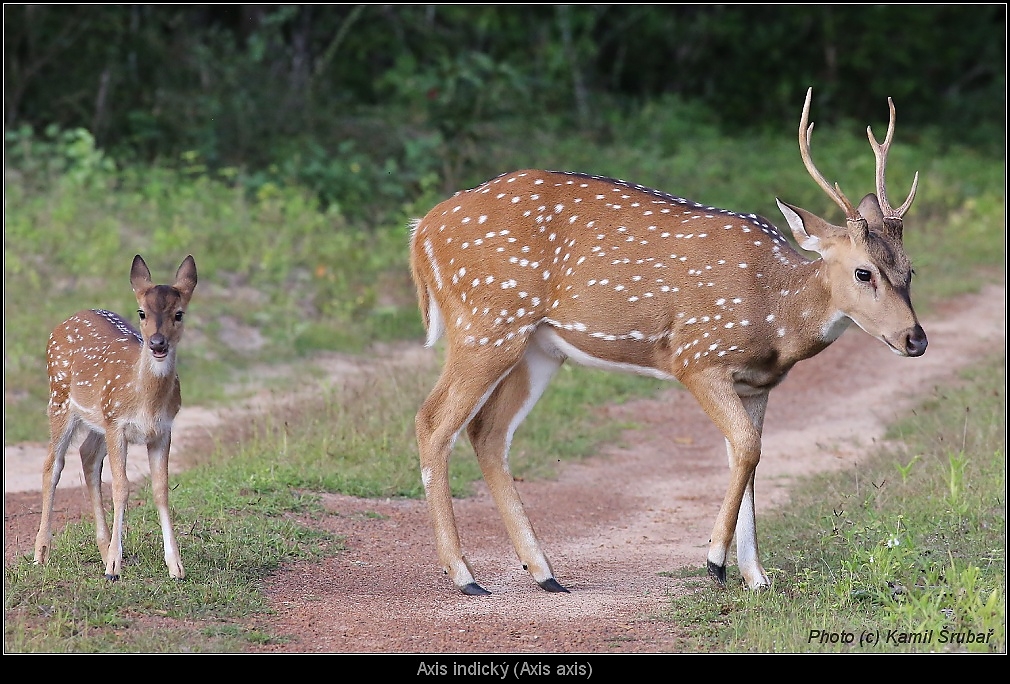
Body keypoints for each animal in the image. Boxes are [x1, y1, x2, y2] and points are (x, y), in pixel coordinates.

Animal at [36, 253, 196, 577]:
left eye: (179, 314)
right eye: (142, 312)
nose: (157, 343)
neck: (146, 401)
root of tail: (65, 321)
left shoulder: (163, 430)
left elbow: (161, 489)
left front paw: (176, 566)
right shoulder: (117, 424)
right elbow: (121, 487)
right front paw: (114, 566)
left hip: (97, 420)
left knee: (86, 456)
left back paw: (102, 546)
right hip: (60, 398)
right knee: (53, 464)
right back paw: (42, 553)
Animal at [408, 87, 925, 594]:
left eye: (909, 270)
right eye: (864, 272)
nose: (915, 339)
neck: (775, 317)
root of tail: (422, 232)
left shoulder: (756, 384)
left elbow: (749, 456)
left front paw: (756, 578)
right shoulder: (698, 356)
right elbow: (747, 448)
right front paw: (716, 563)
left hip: (537, 348)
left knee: (488, 432)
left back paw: (544, 573)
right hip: (487, 323)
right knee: (433, 421)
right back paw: (465, 576)